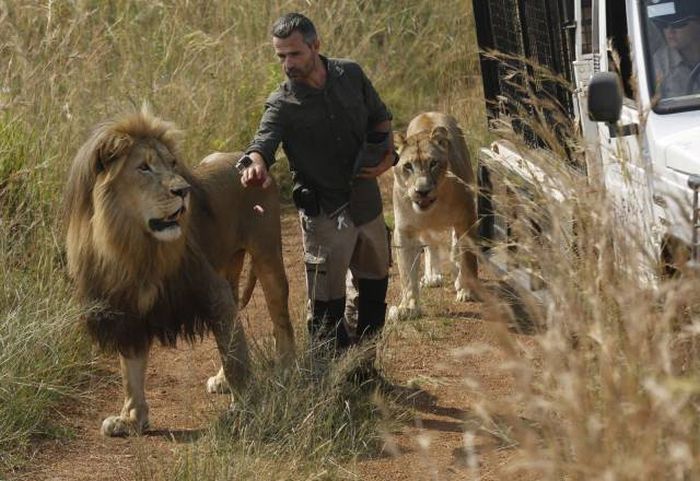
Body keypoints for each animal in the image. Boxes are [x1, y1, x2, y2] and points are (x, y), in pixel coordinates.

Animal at [63, 108, 296, 436]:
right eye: (144, 168)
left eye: (172, 164)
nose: (184, 191)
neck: (135, 246)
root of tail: (245, 159)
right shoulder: (127, 308)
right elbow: (131, 369)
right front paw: (131, 419)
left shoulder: (209, 289)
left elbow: (236, 356)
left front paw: (245, 409)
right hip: (228, 269)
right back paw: (222, 380)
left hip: (267, 255)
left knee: (280, 321)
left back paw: (286, 371)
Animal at [388, 109, 482, 318]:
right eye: (408, 166)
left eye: (433, 163)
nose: (422, 191)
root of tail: (428, 112)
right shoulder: (405, 231)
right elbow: (407, 273)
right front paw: (408, 307)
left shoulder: (466, 218)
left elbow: (468, 257)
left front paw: (468, 290)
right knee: (430, 244)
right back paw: (432, 277)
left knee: (455, 246)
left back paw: (457, 276)